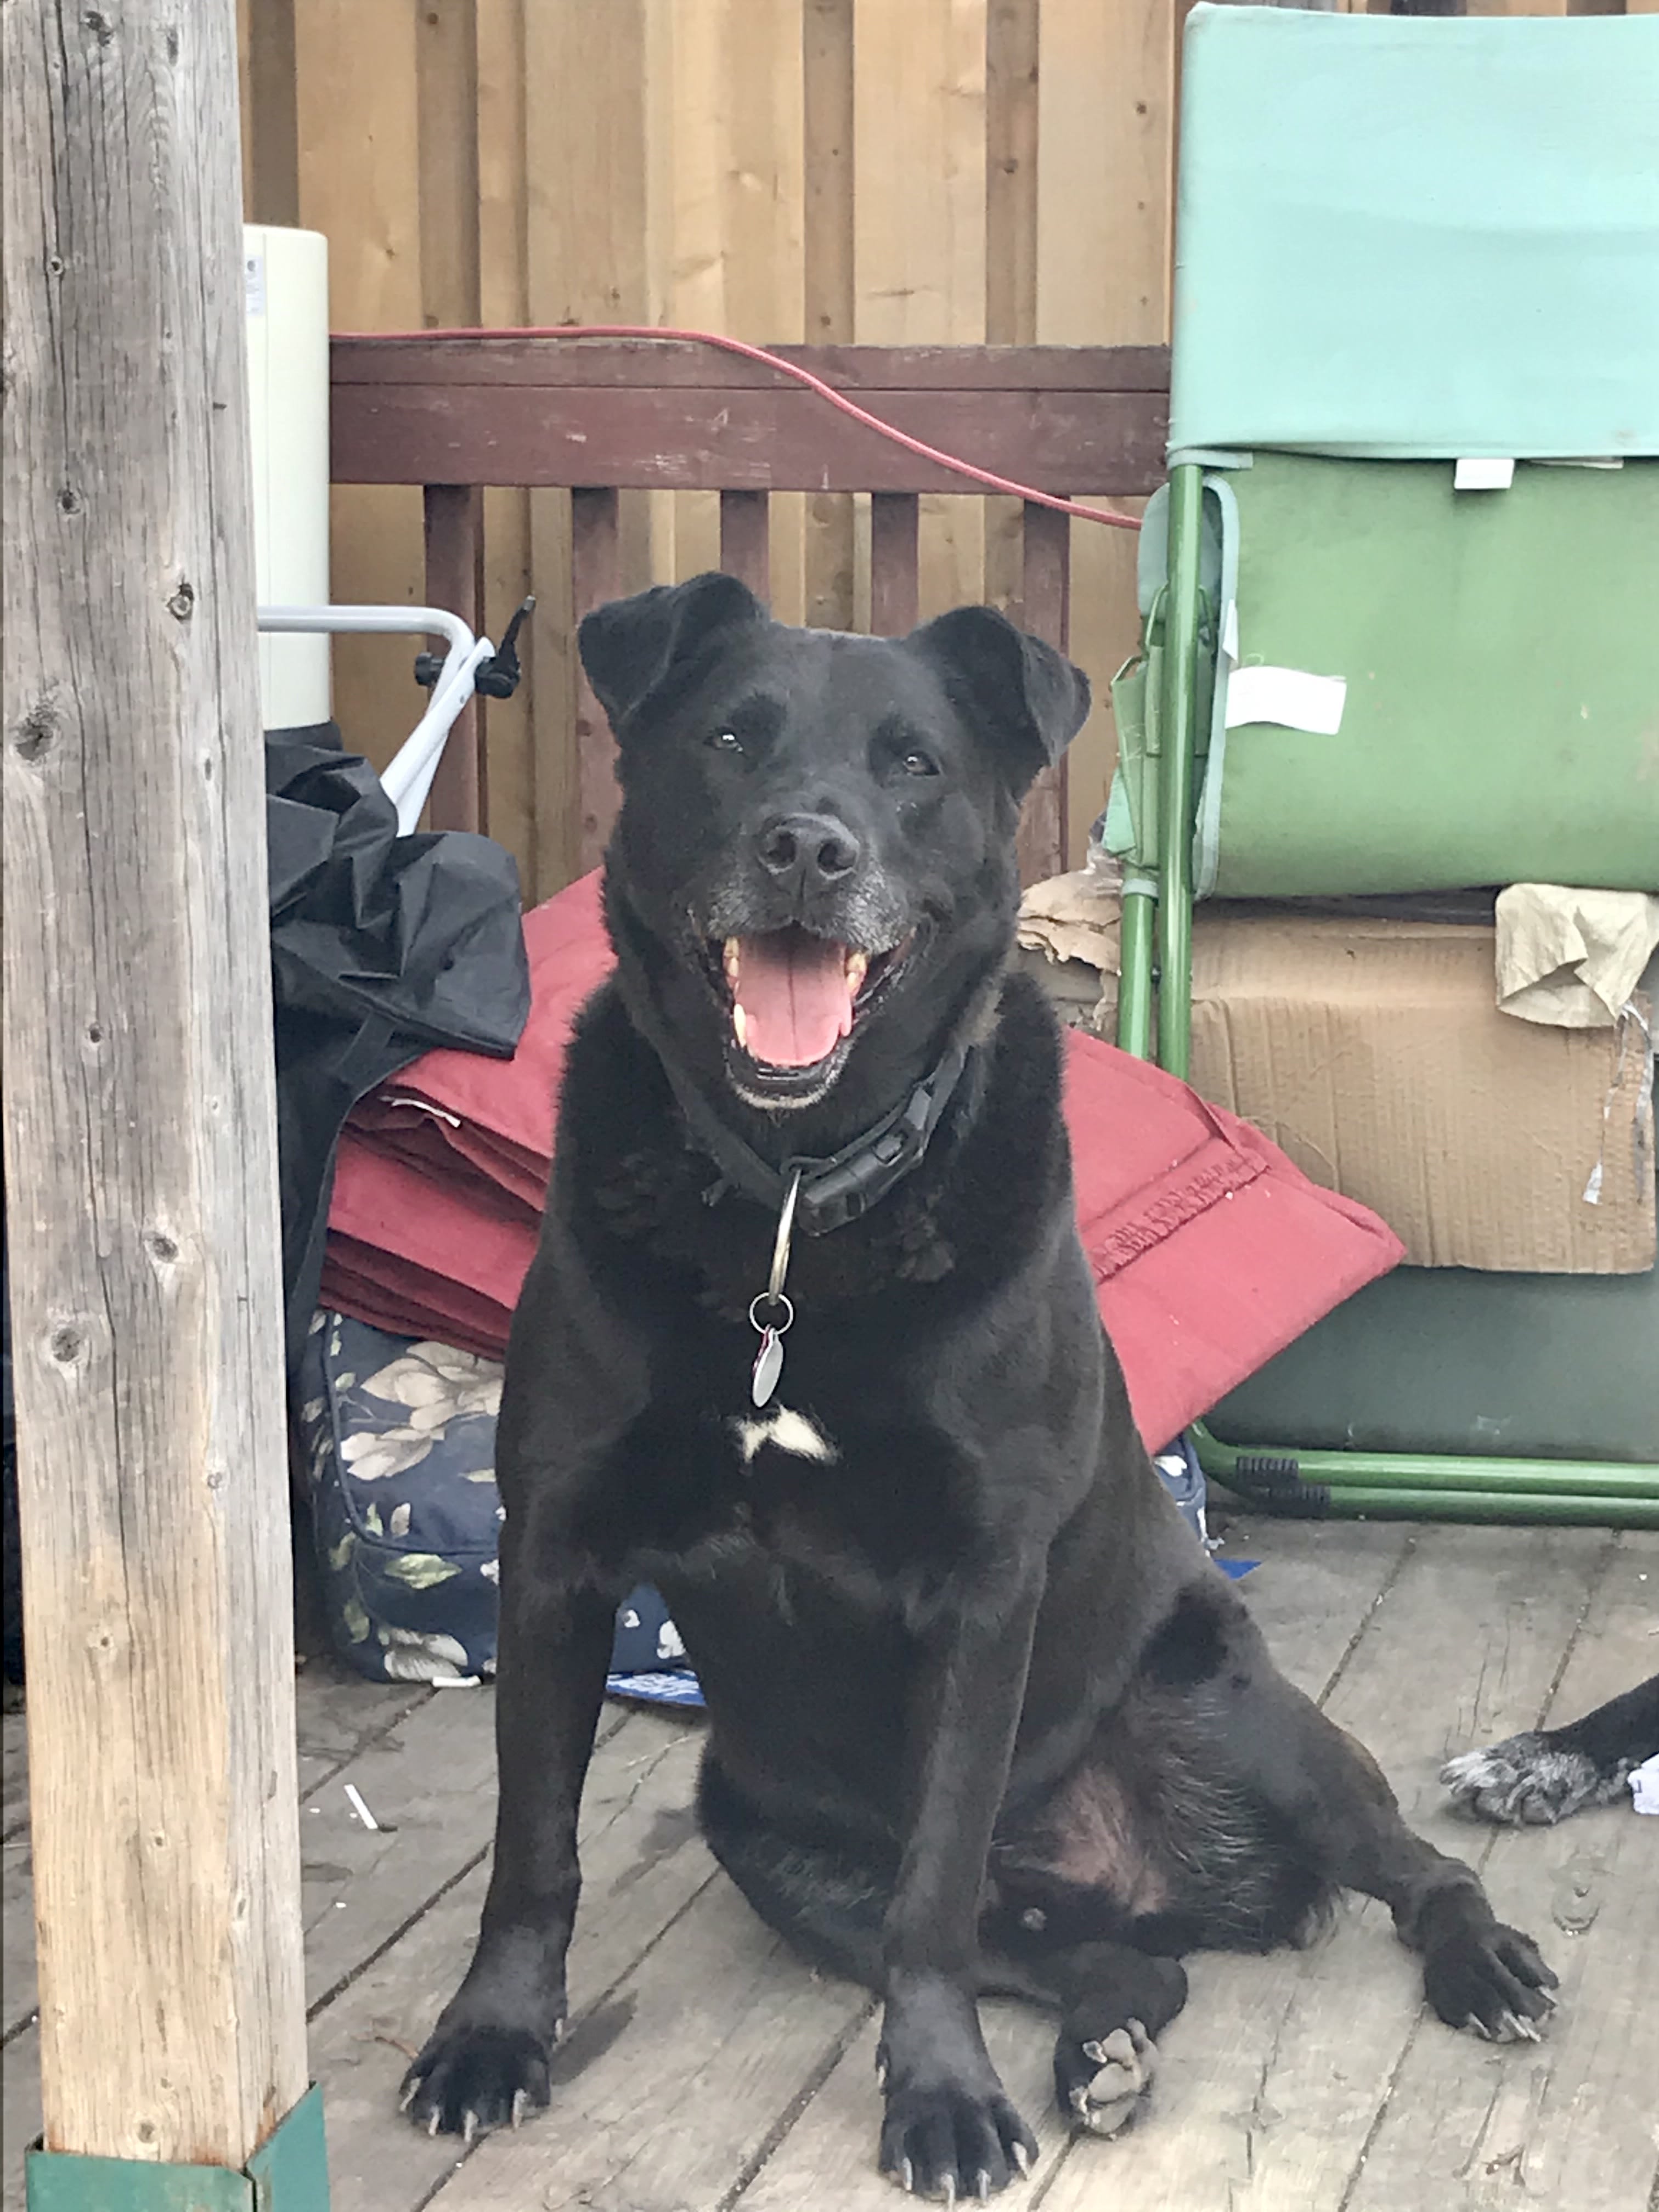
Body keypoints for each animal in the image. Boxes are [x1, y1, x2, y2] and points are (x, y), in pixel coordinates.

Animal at [402, 575, 1557, 2194]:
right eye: (731, 739)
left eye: (914, 765)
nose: (807, 849)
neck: (796, 1204)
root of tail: (1146, 1881)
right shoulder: (557, 1549)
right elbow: (532, 1851)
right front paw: (492, 2039)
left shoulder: (978, 1584)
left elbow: (936, 1891)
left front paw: (942, 2101)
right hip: (760, 1832)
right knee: (1130, 1970)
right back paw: (1101, 2048)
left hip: (1250, 1718)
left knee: (1415, 1868)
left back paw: (1479, 1963)